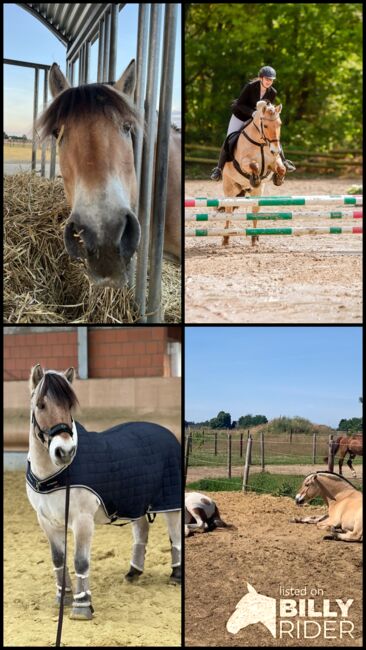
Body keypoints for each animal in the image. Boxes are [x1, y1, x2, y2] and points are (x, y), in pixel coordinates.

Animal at [25, 364, 181, 616]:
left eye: (69, 405)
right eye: (40, 405)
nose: (64, 451)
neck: (55, 474)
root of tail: (166, 433)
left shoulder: (82, 520)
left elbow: (80, 561)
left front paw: (82, 606)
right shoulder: (47, 522)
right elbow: (58, 559)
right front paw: (63, 598)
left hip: (170, 502)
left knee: (175, 535)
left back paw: (176, 575)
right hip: (135, 500)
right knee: (141, 531)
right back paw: (133, 572)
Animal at [220, 100, 286, 244]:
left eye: (279, 124)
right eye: (265, 125)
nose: (276, 150)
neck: (261, 143)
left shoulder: (273, 162)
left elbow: (281, 168)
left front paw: (278, 179)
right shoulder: (243, 163)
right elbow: (254, 165)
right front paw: (255, 179)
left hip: (256, 193)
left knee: (255, 211)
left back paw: (255, 237)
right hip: (229, 187)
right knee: (228, 210)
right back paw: (226, 237)